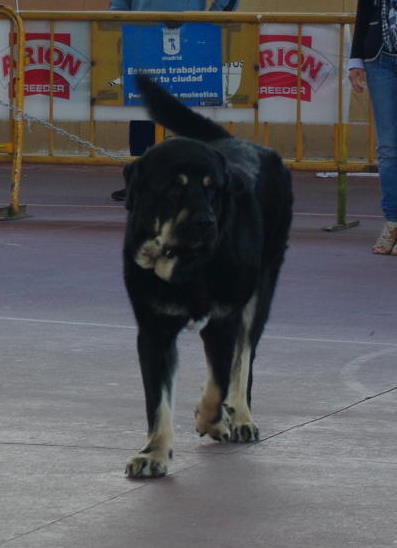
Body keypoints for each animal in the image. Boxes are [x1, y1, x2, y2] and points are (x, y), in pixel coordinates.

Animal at [120, 75, 290, 478]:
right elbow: (158, 401)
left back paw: (239, 417)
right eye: (175, 186)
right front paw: (154, 452)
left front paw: (211, 419)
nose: (207, 222)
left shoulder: (225, 318)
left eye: (213, 188)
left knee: (243, 360)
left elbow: (220, 379)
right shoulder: (154, 330)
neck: (187, 265)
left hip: (260, 291)